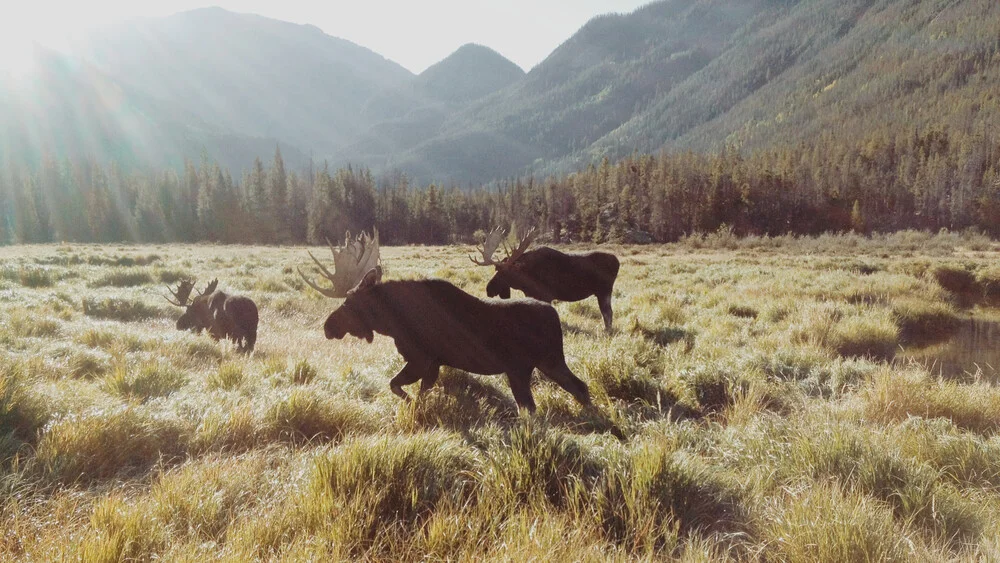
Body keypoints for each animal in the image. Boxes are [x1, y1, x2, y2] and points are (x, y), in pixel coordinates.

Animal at [300, 229, 588, 414]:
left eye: (349, 302)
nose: (328, 326)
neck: (391, 323)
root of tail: (554, 316)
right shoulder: (434, 364)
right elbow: (416, 391)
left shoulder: (421, 359)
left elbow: (397, 386)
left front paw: (411, 406)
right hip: (547, 363)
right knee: (580, 387)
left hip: (528, 367)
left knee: (536, 405)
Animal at [468, 226, 616, 330]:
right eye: (496, 269)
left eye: (505, 272)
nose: (488, 289)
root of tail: (617, 262)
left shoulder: (546, 296)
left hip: (604, 291)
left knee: (607, 313)